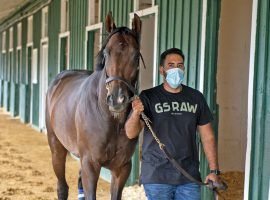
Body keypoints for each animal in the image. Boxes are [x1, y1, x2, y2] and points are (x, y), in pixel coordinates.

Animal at [46, 12, 143, 200]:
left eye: (136, 56)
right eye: (106, 53)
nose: (117, 100)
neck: (112, 121)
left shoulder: (122, 168)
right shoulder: (90, 164)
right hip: (56, 148)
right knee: (62, 187)